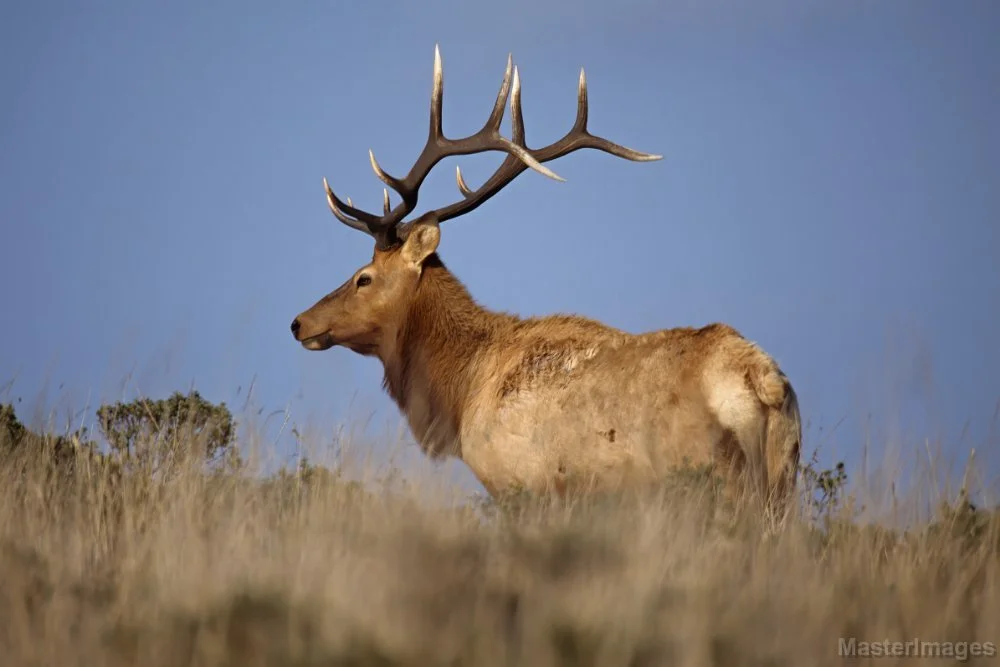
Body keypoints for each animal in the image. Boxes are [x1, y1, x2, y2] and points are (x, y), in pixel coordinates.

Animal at [290, 46, 802, 516]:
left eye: (364, 278)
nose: (298, 322)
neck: (461, 393)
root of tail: (762, 383)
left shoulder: (522, 484)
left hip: (709, 479)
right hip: (783, 482)